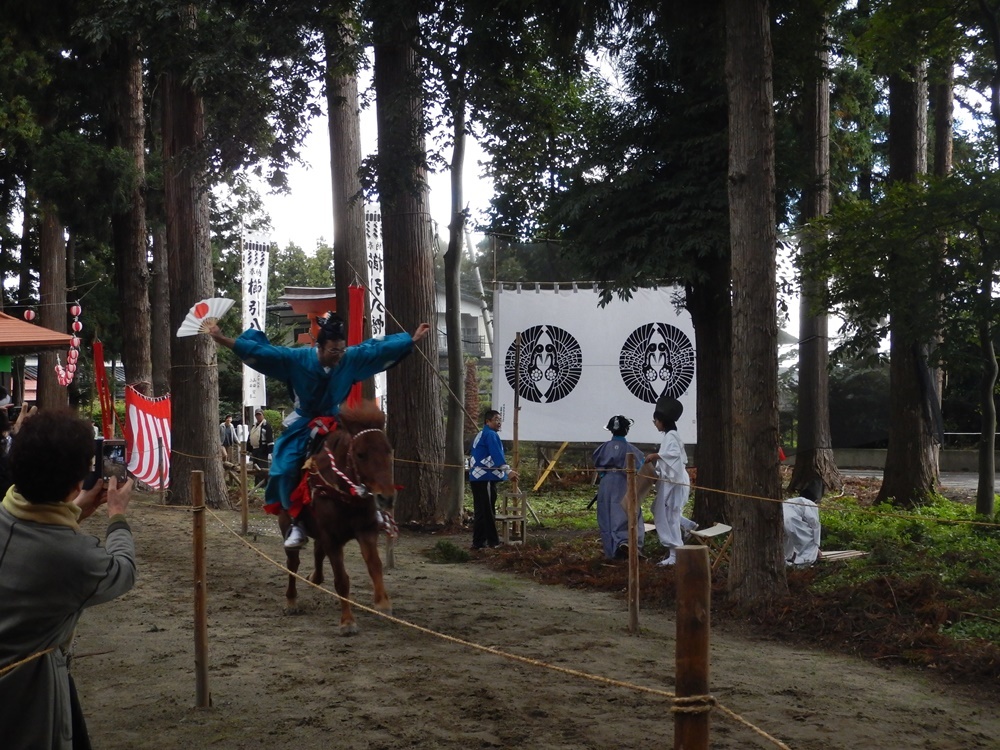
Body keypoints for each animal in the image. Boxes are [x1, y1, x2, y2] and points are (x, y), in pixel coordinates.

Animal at [278, 402, 398, 636]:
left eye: (388, 451)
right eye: (360, 454)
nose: (386, 497)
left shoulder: (366, 530)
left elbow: (375, 565)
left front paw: (383, 604)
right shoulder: (332, 538)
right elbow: (341, 579)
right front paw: (347, 622)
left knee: (317, 551)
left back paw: (315, 578)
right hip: (286, 521)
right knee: (292, 563)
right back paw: (291, 601)